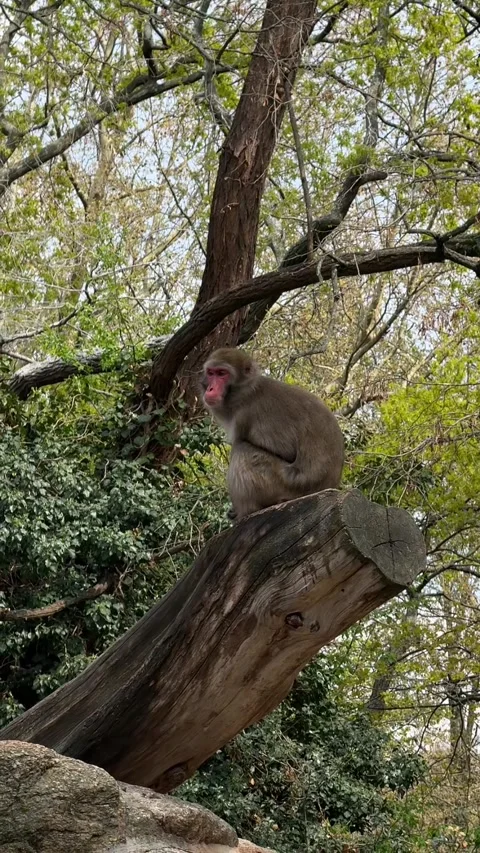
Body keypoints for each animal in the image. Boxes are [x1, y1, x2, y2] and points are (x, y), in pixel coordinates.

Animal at [201, 348, 344, 520]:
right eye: (211, 373)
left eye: (222, 373)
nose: (210, 389)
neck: (248, 390)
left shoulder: (243, 416)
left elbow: (286, 451)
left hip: (285, 484)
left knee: (242, 450)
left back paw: (246, 511)